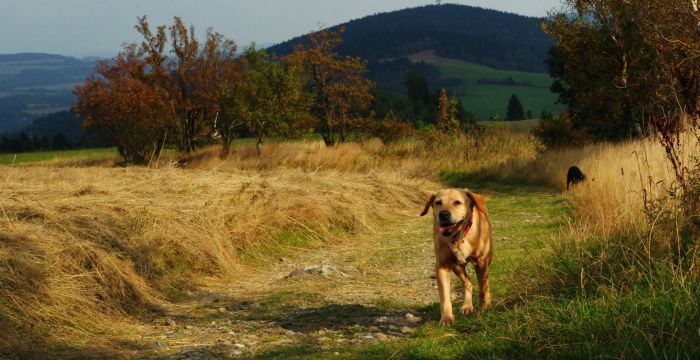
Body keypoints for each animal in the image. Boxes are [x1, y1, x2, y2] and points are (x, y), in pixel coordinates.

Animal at [422, 188, 492, 326]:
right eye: (438, 202)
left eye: (457, 202)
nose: (443, 214)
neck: (458, 237)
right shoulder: (442, 266)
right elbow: (444, 295)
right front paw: (446, 317)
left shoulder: (481, 262)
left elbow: (483, 287)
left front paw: (484, 307)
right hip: (456, 266)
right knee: (467, 282)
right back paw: (467, 306)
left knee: (483, 281)